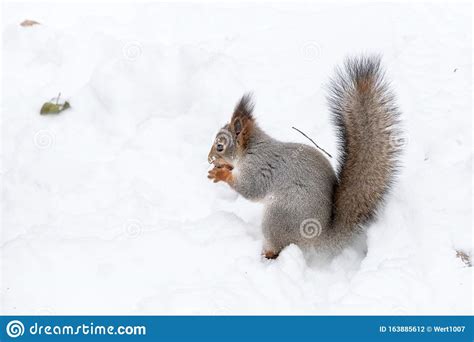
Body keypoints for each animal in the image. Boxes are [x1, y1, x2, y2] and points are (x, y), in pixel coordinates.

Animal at [207, 56, 400, 260]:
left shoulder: (259, 168)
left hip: (279, 216)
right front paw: (224, 169)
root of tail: (320, 238)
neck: (250, 149)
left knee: (278, 246)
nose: (209, 159)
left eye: (220, 146)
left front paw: (221, 174)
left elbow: (249, 189)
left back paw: (266, 254)